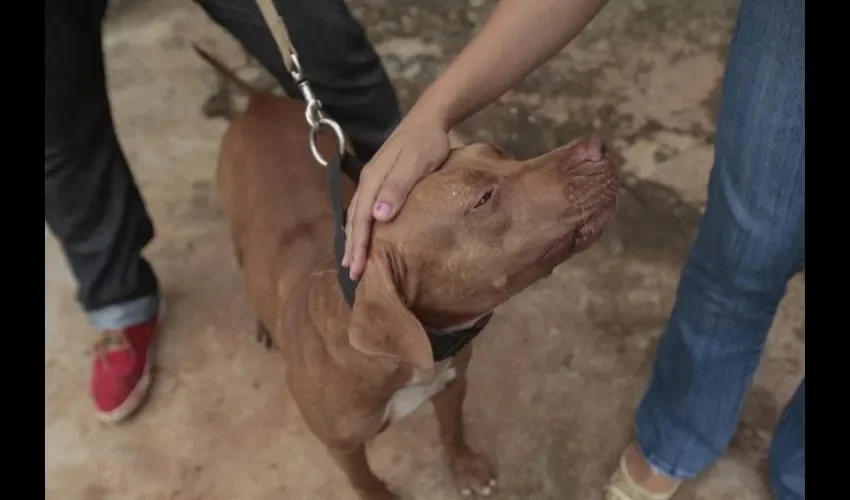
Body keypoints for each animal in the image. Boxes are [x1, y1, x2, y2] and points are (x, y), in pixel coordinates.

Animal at [195, 45, 620, 498]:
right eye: (483, 199)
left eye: (497, 151)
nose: (596, 146)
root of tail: (258, 102)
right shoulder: (342, 446)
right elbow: (364, 481)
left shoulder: (451, 384)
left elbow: (452, 429)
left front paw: (465, 467)